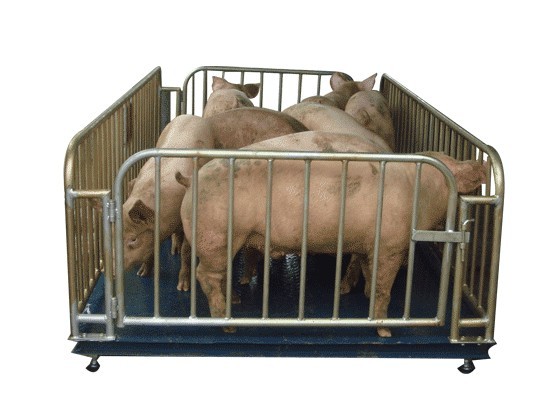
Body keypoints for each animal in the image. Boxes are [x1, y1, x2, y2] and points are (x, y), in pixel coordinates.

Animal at [180, 132, 486, 337]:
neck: (421, 190)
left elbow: (368, 274)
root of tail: (192, 184)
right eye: (453, 165)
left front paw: (359, 294)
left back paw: (235, 302)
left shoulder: (367, 244)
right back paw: (228, 324)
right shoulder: (391, 245)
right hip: (218, 235)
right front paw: (385, 331)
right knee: (205, 274)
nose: (479, 165)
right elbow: (384, 287)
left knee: (217, 275)